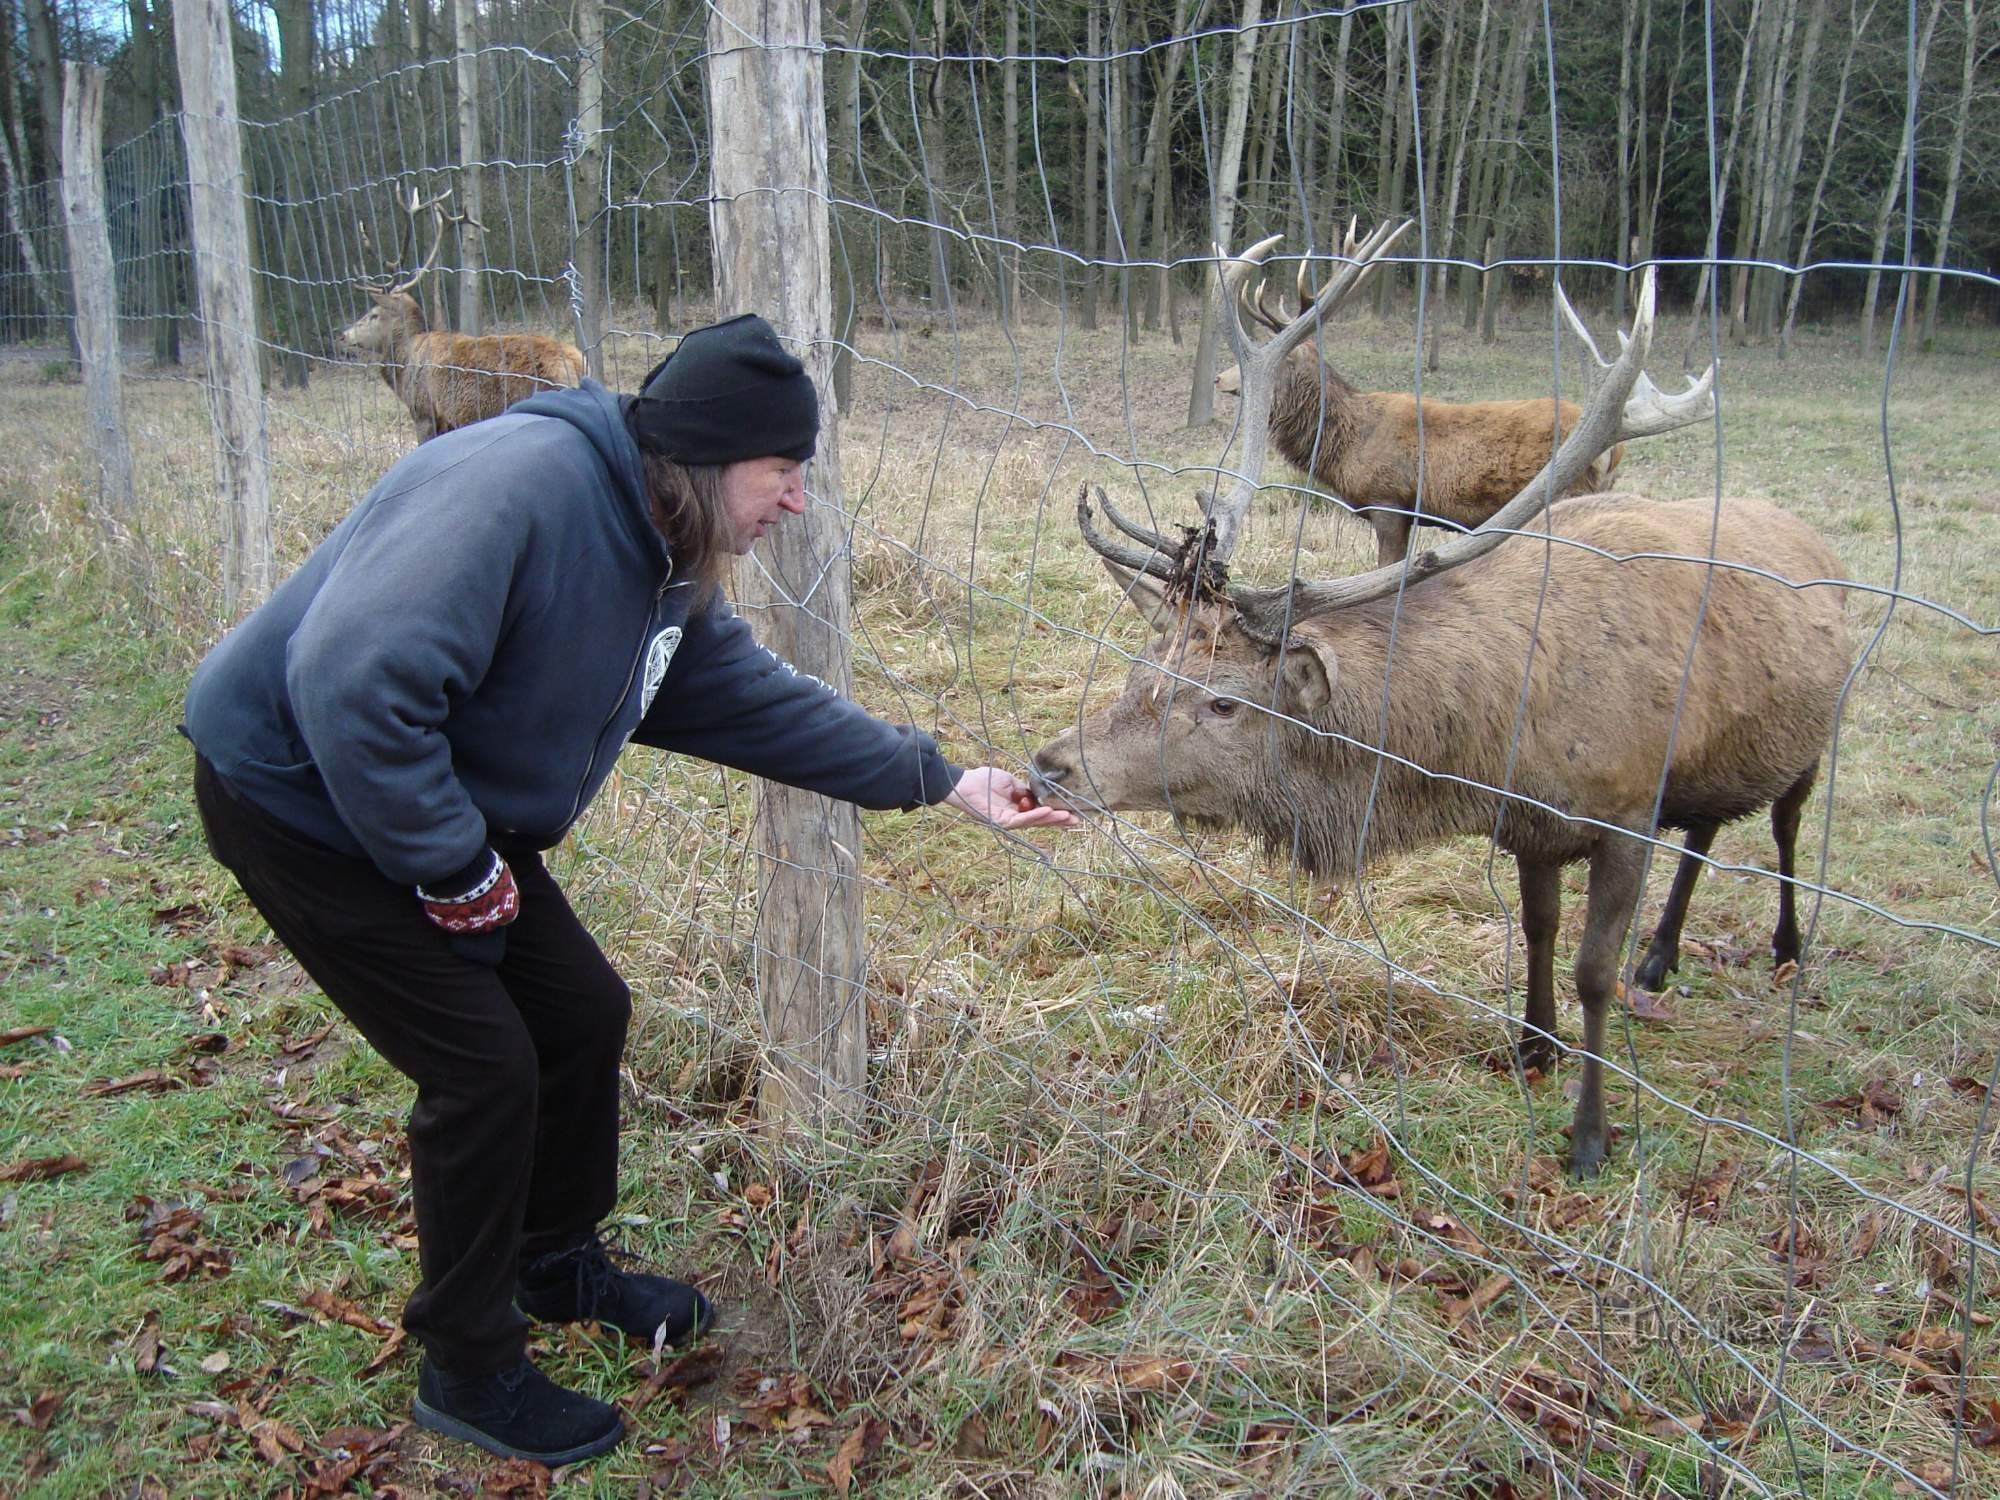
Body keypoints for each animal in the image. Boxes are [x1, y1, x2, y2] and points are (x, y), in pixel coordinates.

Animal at [1040, 274, 1848, 1184]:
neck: (1504, 746)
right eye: (1142, 664)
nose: (1053, 763)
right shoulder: (1532, 826)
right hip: (1721, 755)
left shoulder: (1627, 809)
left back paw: (1785, 947)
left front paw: (1591, 1136)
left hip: (1819, 734)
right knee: (1708, 827)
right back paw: (1663, 956)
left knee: (1784, 826)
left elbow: (1592, 970)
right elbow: (1536, 929)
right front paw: (1532, 1047)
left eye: (1222, 702)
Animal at [1208, 223, 1712, 568]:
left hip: (1567, 494)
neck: (1347, 447)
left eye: (1283, 358)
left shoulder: (1391, 500)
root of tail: (1615, 453)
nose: (1218, 379)